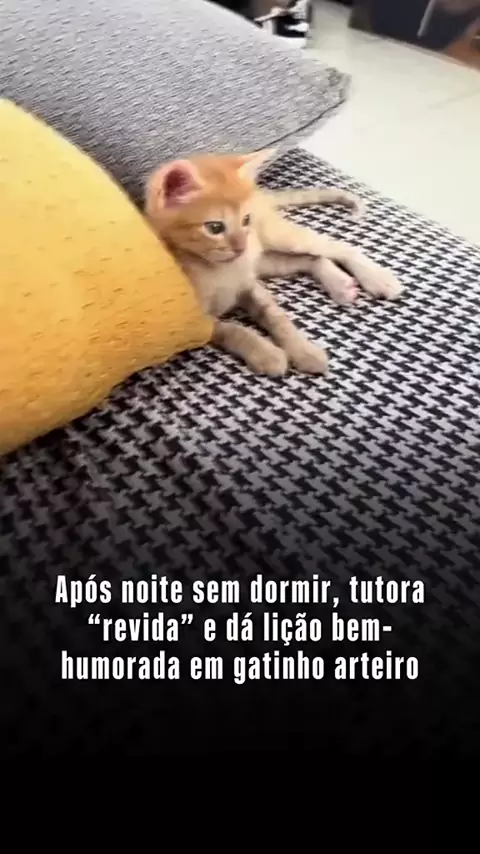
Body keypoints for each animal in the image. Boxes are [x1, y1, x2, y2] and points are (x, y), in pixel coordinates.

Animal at [144, 149, 403, 377]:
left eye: (246, 220)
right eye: (215, 227)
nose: (241, 248)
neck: (217, 270)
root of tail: (260, 194)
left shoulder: (250, 284)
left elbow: (275, 317)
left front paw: (303, 350)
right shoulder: (196, 323)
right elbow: (231, 329)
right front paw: (266, 353)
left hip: (275, 239)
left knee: (339, 247)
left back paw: (378, 278)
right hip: (263, 260)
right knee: (311, 259)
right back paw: (340, 284)